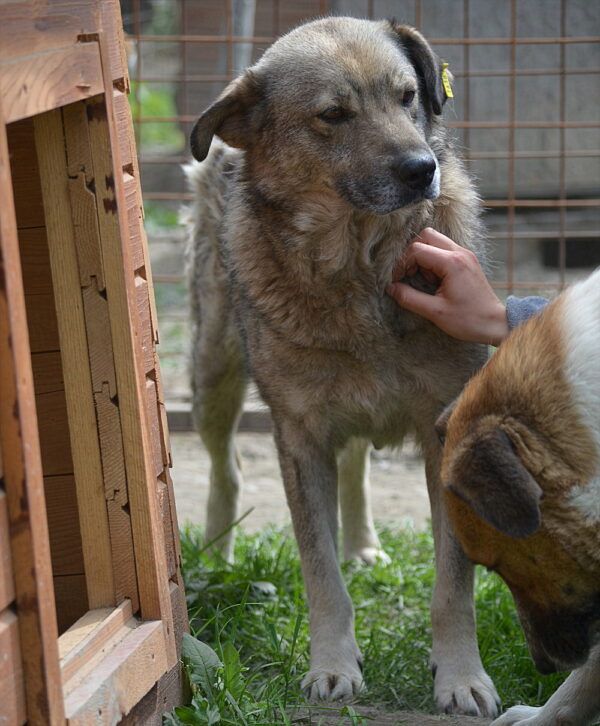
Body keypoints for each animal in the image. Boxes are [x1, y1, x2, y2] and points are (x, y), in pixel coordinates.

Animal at [185, 15, 500, 716]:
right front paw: (331, 665)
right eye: (333, 115)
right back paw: (216, 557)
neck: (359, 266)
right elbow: (319, 572)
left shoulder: (445, 433)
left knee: (355, 461)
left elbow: (452, 587)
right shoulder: (300, 437)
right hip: (212, 372)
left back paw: (361, 543)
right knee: (227, 468)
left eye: (408, 97)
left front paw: (461, 676)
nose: (422, 168)